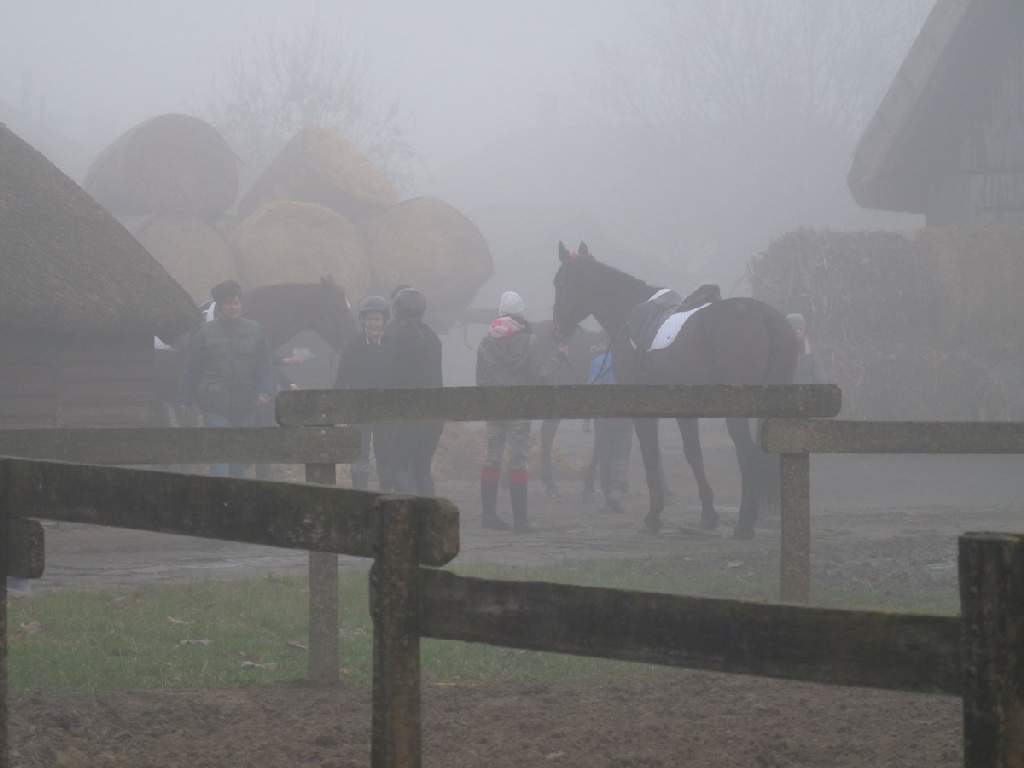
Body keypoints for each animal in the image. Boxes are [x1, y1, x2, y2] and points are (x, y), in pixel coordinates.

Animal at [552, 242, 798, 539]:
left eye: (561, 283)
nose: (557, 331)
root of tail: (764, 317)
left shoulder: (643, 409)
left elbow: (651, 456)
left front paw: (653, 516)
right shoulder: (684, 409)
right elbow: (693, 455)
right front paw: (708, 515)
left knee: (748, 455)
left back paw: (744, 524)